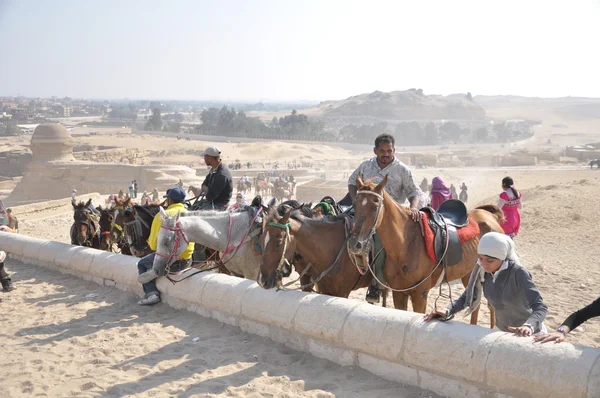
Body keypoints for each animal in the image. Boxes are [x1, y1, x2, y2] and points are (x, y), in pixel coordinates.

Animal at [346, 176, 506, 326]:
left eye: (375, 206)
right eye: (354, 204)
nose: (355, 244)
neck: (406, 245)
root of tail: (491, 216)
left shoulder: (420, 294)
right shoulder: (399, 293)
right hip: (469, 274)